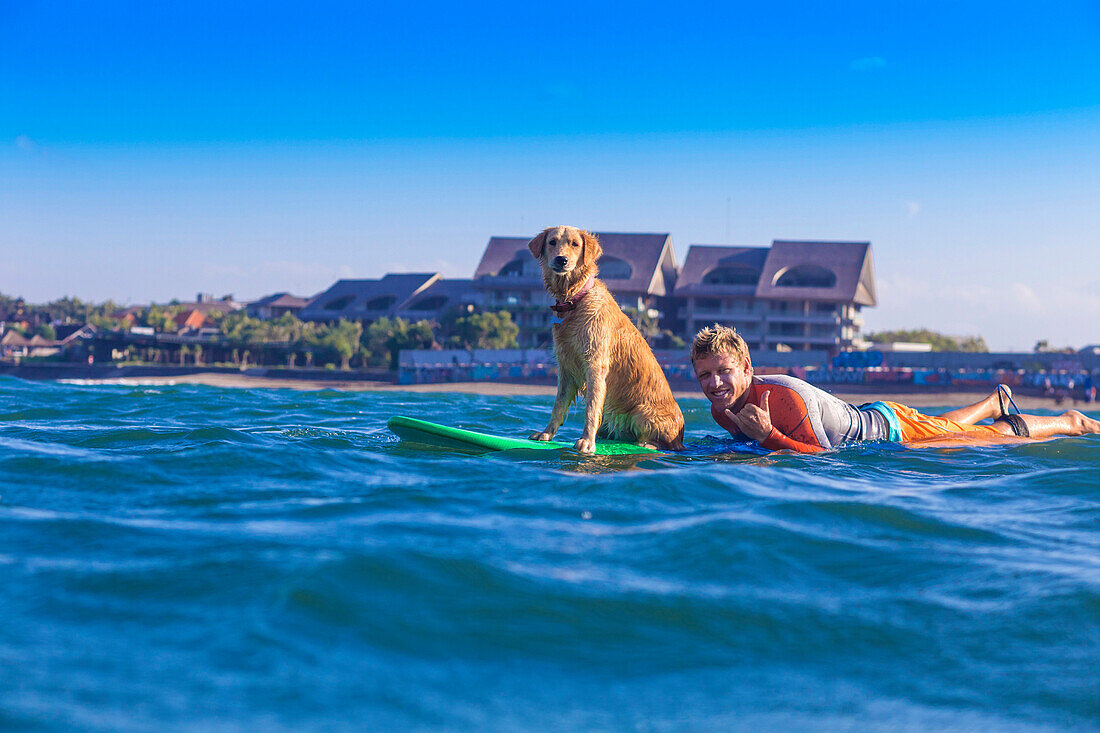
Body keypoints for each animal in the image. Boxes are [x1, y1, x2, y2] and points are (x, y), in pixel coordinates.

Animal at [525, 224, 686, 451]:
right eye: (552, 242)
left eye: (575, 244)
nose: (561, 260)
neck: (575, 299)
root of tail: (682, 438)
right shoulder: (565, 367)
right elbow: (558, 405)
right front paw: (547, 433)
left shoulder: (595, 364)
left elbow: (592, 408)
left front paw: (587, 441)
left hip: (641, 412)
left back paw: (645, 444)